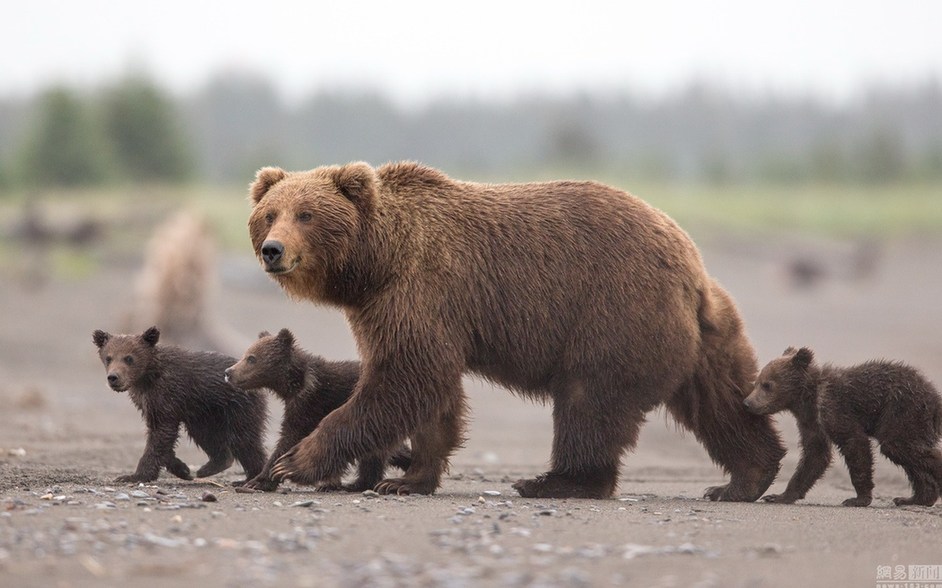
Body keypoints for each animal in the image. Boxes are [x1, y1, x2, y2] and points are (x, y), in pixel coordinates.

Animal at [247, 162, 784, 500]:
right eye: (269, 213)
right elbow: (433, 393)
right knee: (722, 399)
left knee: (589, 402)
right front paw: (407, 478)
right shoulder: (401, 309)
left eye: (306, 214)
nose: (273, 249)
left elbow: (402, 379)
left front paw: (295, 460)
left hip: (612, 314)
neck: (376, 264)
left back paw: (555, 482)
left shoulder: (419, 292)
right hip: (706, 334)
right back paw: (745, 478)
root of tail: (689, 265)